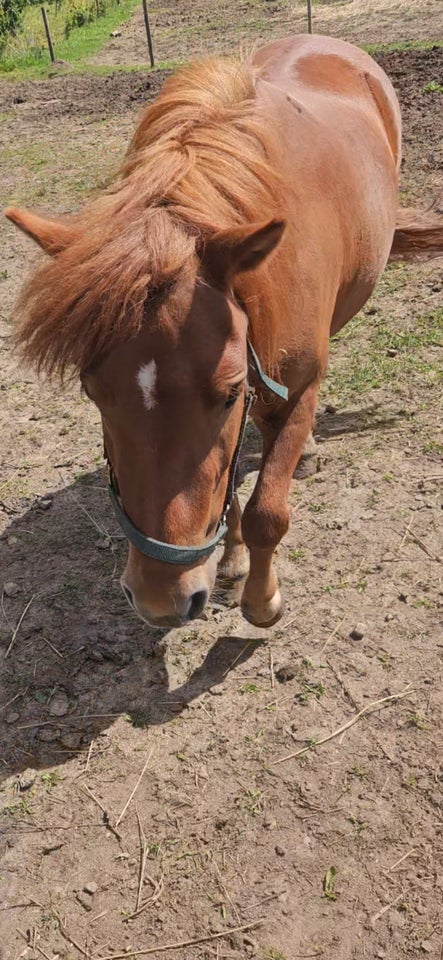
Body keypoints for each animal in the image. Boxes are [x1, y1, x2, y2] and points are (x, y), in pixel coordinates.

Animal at [4, 35, 443, 632]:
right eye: (92, 393)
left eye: (229, 392)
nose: (160, 601)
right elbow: (231, 486)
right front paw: (231, 559)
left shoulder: (298, 389)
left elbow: (267, 511)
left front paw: (262, 599)